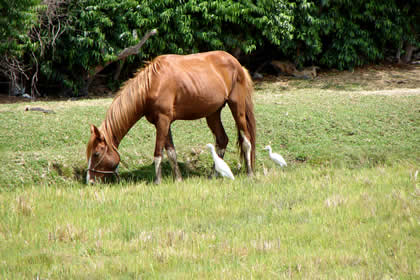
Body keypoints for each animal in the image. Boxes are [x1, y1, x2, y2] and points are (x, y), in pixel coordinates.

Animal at [85, 50, 256, 184]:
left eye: (96, 154)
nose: (90, 181)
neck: (152, 84)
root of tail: (237, 64)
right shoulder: (162, 123)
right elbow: (171, 152)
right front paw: (178, 179)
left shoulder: (163, 121)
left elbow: (158, 153)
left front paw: (157, 181)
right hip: (212, 114)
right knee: (222, 140)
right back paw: (213, 175)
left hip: (237, 109)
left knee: (246, 140)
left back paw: (249, 173)